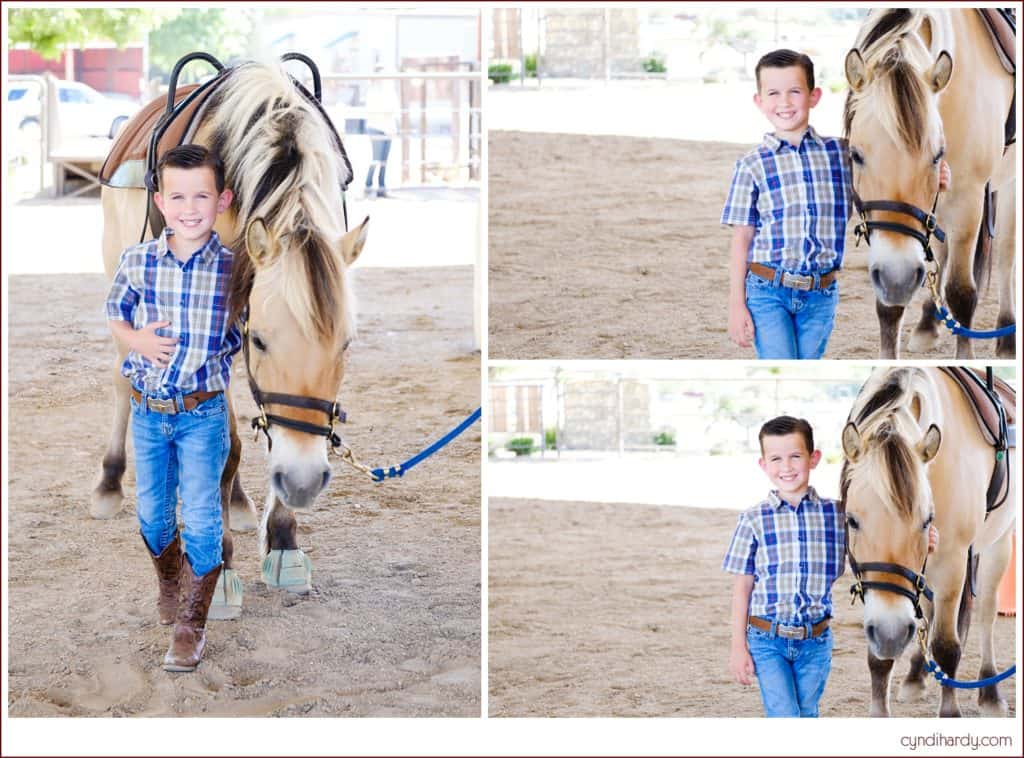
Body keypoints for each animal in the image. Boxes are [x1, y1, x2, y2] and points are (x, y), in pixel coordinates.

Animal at [92, 59, 370, 614]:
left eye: (346, 343)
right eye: (261, 340)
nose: (306, 481)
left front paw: (283, 541)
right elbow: (224, 444)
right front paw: (216, 572)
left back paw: (240, 503)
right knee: (121, 377)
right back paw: (110, 481)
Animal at [839, 8, 1015, 358]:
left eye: (937, 156)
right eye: (855, 154)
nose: (898, 277)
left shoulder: (968, 197)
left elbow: (961, 291)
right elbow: (889, 306)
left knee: (1005, 254)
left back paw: (1007, 336)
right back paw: (927, 323)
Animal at [839, 366, 1015, 717]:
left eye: (926, 520)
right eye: (852, 521)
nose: (891, 632)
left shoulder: (952, 559)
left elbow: (946, 645)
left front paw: (950, 712)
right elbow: (879, 657)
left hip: (998, 543)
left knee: (986, 613)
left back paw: (990, 692)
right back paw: (915, 676)